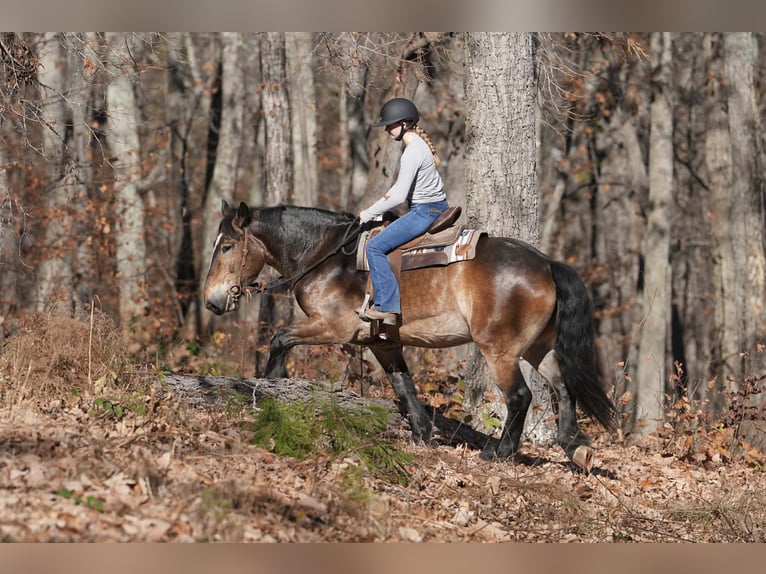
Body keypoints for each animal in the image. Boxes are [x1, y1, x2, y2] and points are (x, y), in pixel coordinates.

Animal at [202, 200, 616, 471]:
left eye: (227, 246)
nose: (211, 301)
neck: (327, 257)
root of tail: (546, 263)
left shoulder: (333, 327)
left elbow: (279, 340)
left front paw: (268, 388)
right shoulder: (383, 343)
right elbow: (404, 386)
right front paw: (421, 434)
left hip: (499, 349)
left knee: (520, 396)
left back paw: (500, 453)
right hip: (538, 348)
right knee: (563, 387)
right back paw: (573, 446)